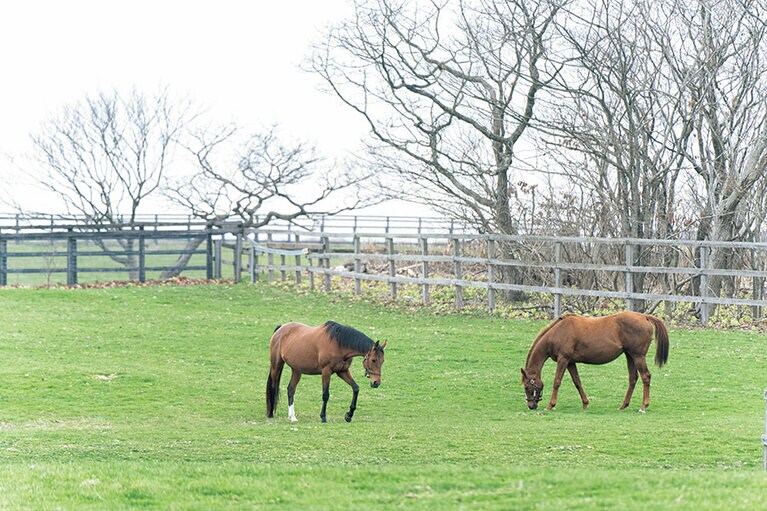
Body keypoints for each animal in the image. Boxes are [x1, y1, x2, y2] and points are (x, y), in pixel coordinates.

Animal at [520, 311, 669, 413]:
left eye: (527, 387)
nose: (531, 406)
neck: (558, 332)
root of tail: (644, 317)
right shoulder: (570, 362)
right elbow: (577, 382)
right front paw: (585, 403)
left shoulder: (563, 360)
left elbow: (557, 382)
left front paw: (550, 406)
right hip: (630, 356)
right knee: (633, 378)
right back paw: (623, 405)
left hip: (638, 356)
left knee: (645, 377)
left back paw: (644, 406)